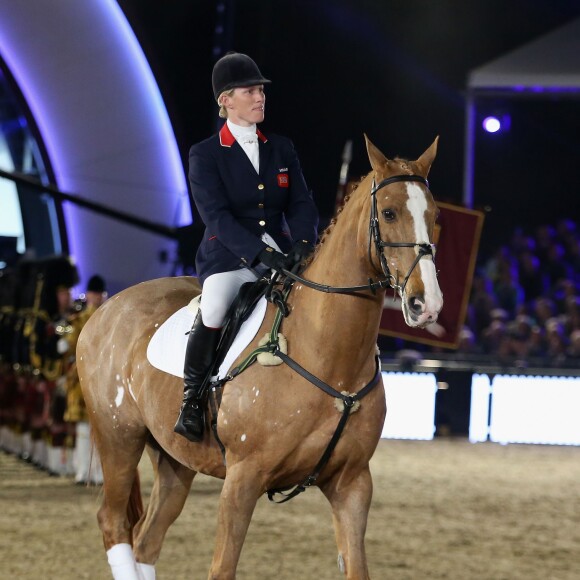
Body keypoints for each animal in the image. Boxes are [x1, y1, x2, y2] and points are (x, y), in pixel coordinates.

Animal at [76, 134, 440, 576]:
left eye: (436, 215)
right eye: (388, 213)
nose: (426, 304)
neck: (327, 355)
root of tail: (104, 310)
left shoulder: (352, 483)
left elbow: (357, 567)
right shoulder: (242, 479)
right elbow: (222, 567)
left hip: (173, 460)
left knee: (146, 541)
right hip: (118, 437)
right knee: (113, 523)